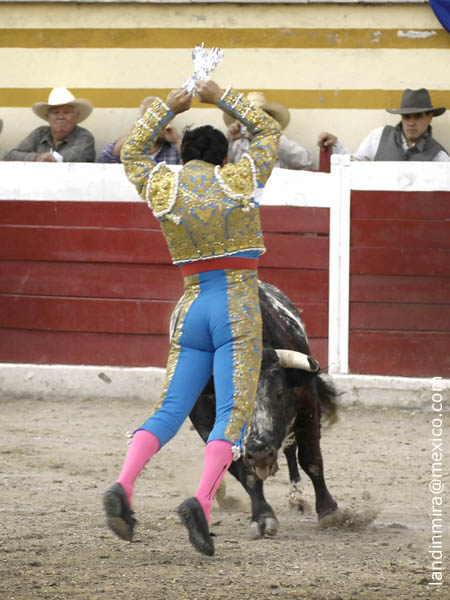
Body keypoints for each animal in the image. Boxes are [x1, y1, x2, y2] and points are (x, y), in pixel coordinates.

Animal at [171, 280, 342, 538]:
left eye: (279, 393)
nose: (260, 452)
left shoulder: (307, 407)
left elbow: (311, 459)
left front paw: (329, 511)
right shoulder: (205, 423)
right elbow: (244, 472)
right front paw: (262, 517)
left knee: (291, 449)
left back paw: (297, 499)